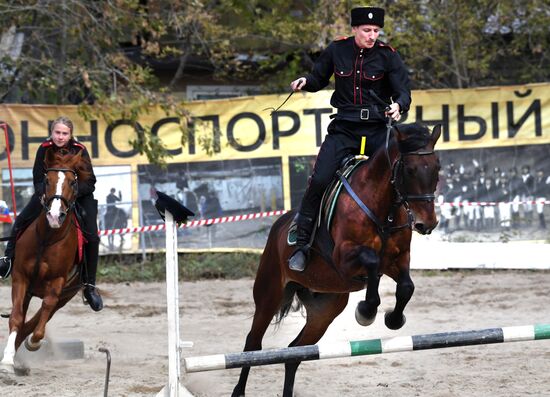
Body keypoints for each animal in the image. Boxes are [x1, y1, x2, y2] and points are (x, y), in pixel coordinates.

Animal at [0, 147, 92, 372]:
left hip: (65, 295)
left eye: (73, 182)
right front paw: (6, 361)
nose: (55, 216)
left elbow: (40, 319)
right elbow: (16, 318)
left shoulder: (57, 283)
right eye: (47, 180)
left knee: (39, 318)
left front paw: (33, 343)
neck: (47, 238)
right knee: (24, 318)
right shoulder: (20, 278)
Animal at [233, 122, 444, 394]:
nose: (426, 224)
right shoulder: (344, 258)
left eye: (437, 167)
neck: (383, 207)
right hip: (269, 293)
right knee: (253, 344)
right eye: (409, 170)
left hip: (324, 310)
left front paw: (394, 319)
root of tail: (278, 225)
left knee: (294, 352)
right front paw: (366, 311)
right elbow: (372, 262)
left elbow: (407, 286)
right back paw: (238, 390)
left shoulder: (398, 260)